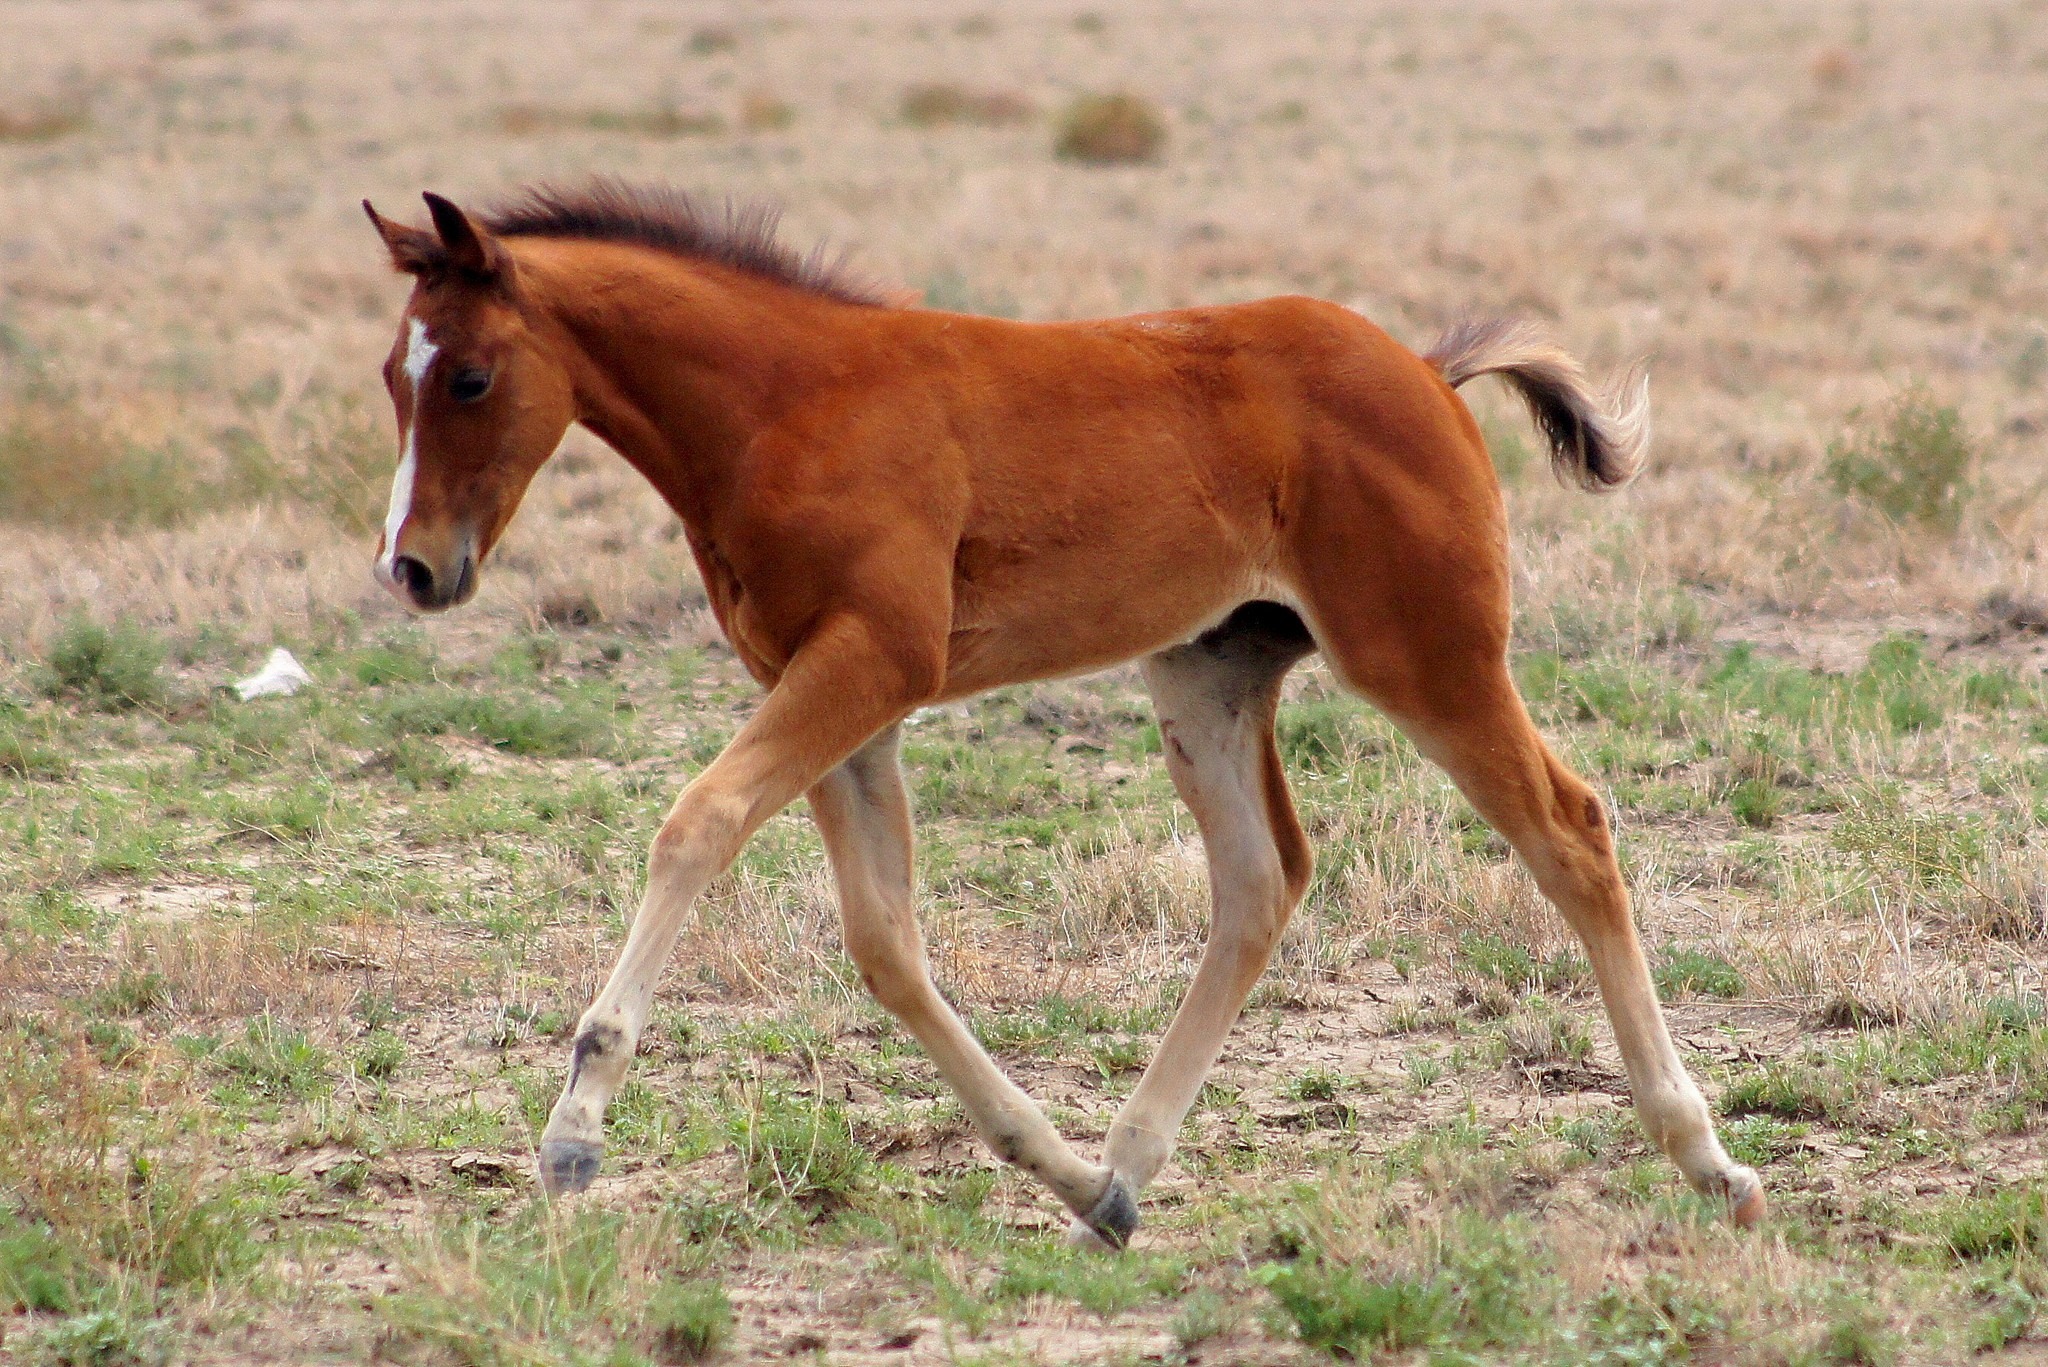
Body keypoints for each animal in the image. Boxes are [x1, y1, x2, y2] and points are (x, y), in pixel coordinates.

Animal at [362, 180, 1765, 1248]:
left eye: (471, 377)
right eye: (392, 374)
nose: (414, 567)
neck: (785, 403)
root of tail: (1423, 370)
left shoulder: (870, 662)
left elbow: (697, 822)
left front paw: (573, 1132)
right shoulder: (837, 694)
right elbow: (883, 939)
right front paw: (1059, 1165)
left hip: (1428, 652)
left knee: (1568, 831)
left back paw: (1705, 1157)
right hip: (1208, 668)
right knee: (1259, 879)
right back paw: (1120, 1174)